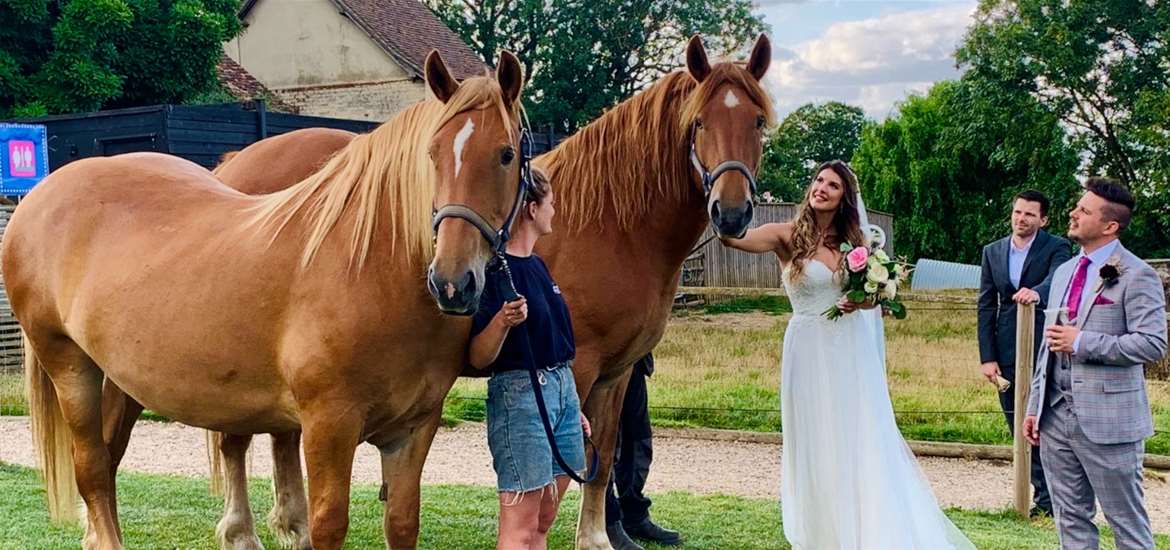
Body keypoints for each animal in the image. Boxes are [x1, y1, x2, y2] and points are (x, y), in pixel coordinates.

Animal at [2, 48, 528, 550]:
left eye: (506, 155)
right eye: (432, 155)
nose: (453, 283)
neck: (372, 270)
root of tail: (42, 194)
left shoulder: (414, 430)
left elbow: (401, 524)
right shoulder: (328, 427)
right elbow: (327, 524)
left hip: (118, 377)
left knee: (109, 463)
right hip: (68, 365)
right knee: (91, 468)